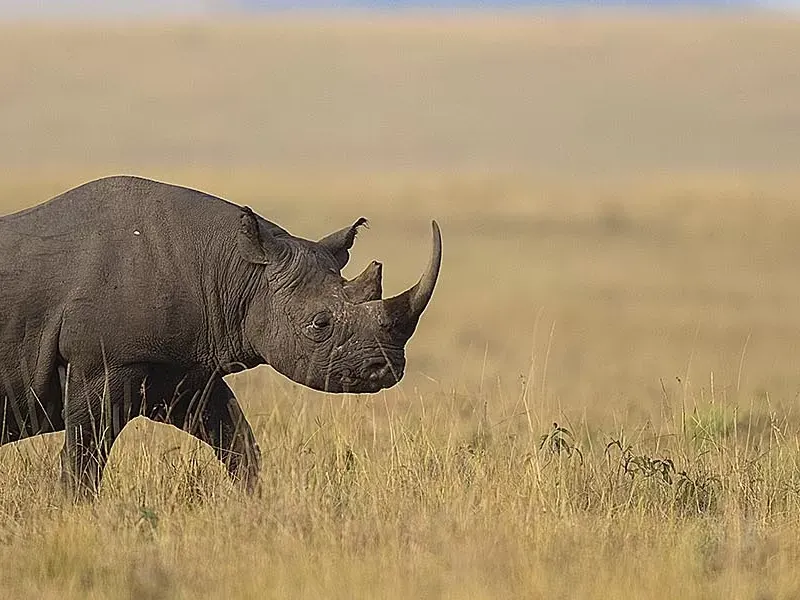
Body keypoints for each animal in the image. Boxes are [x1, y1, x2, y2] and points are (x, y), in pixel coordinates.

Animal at [0, 175, 441, 495]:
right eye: (320, 324)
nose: (385, 369)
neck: (237, 271)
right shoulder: (103, 362)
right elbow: (84, 454)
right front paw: (76, 509)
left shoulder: (183, 368)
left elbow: (236, 440)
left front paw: (255, 504)